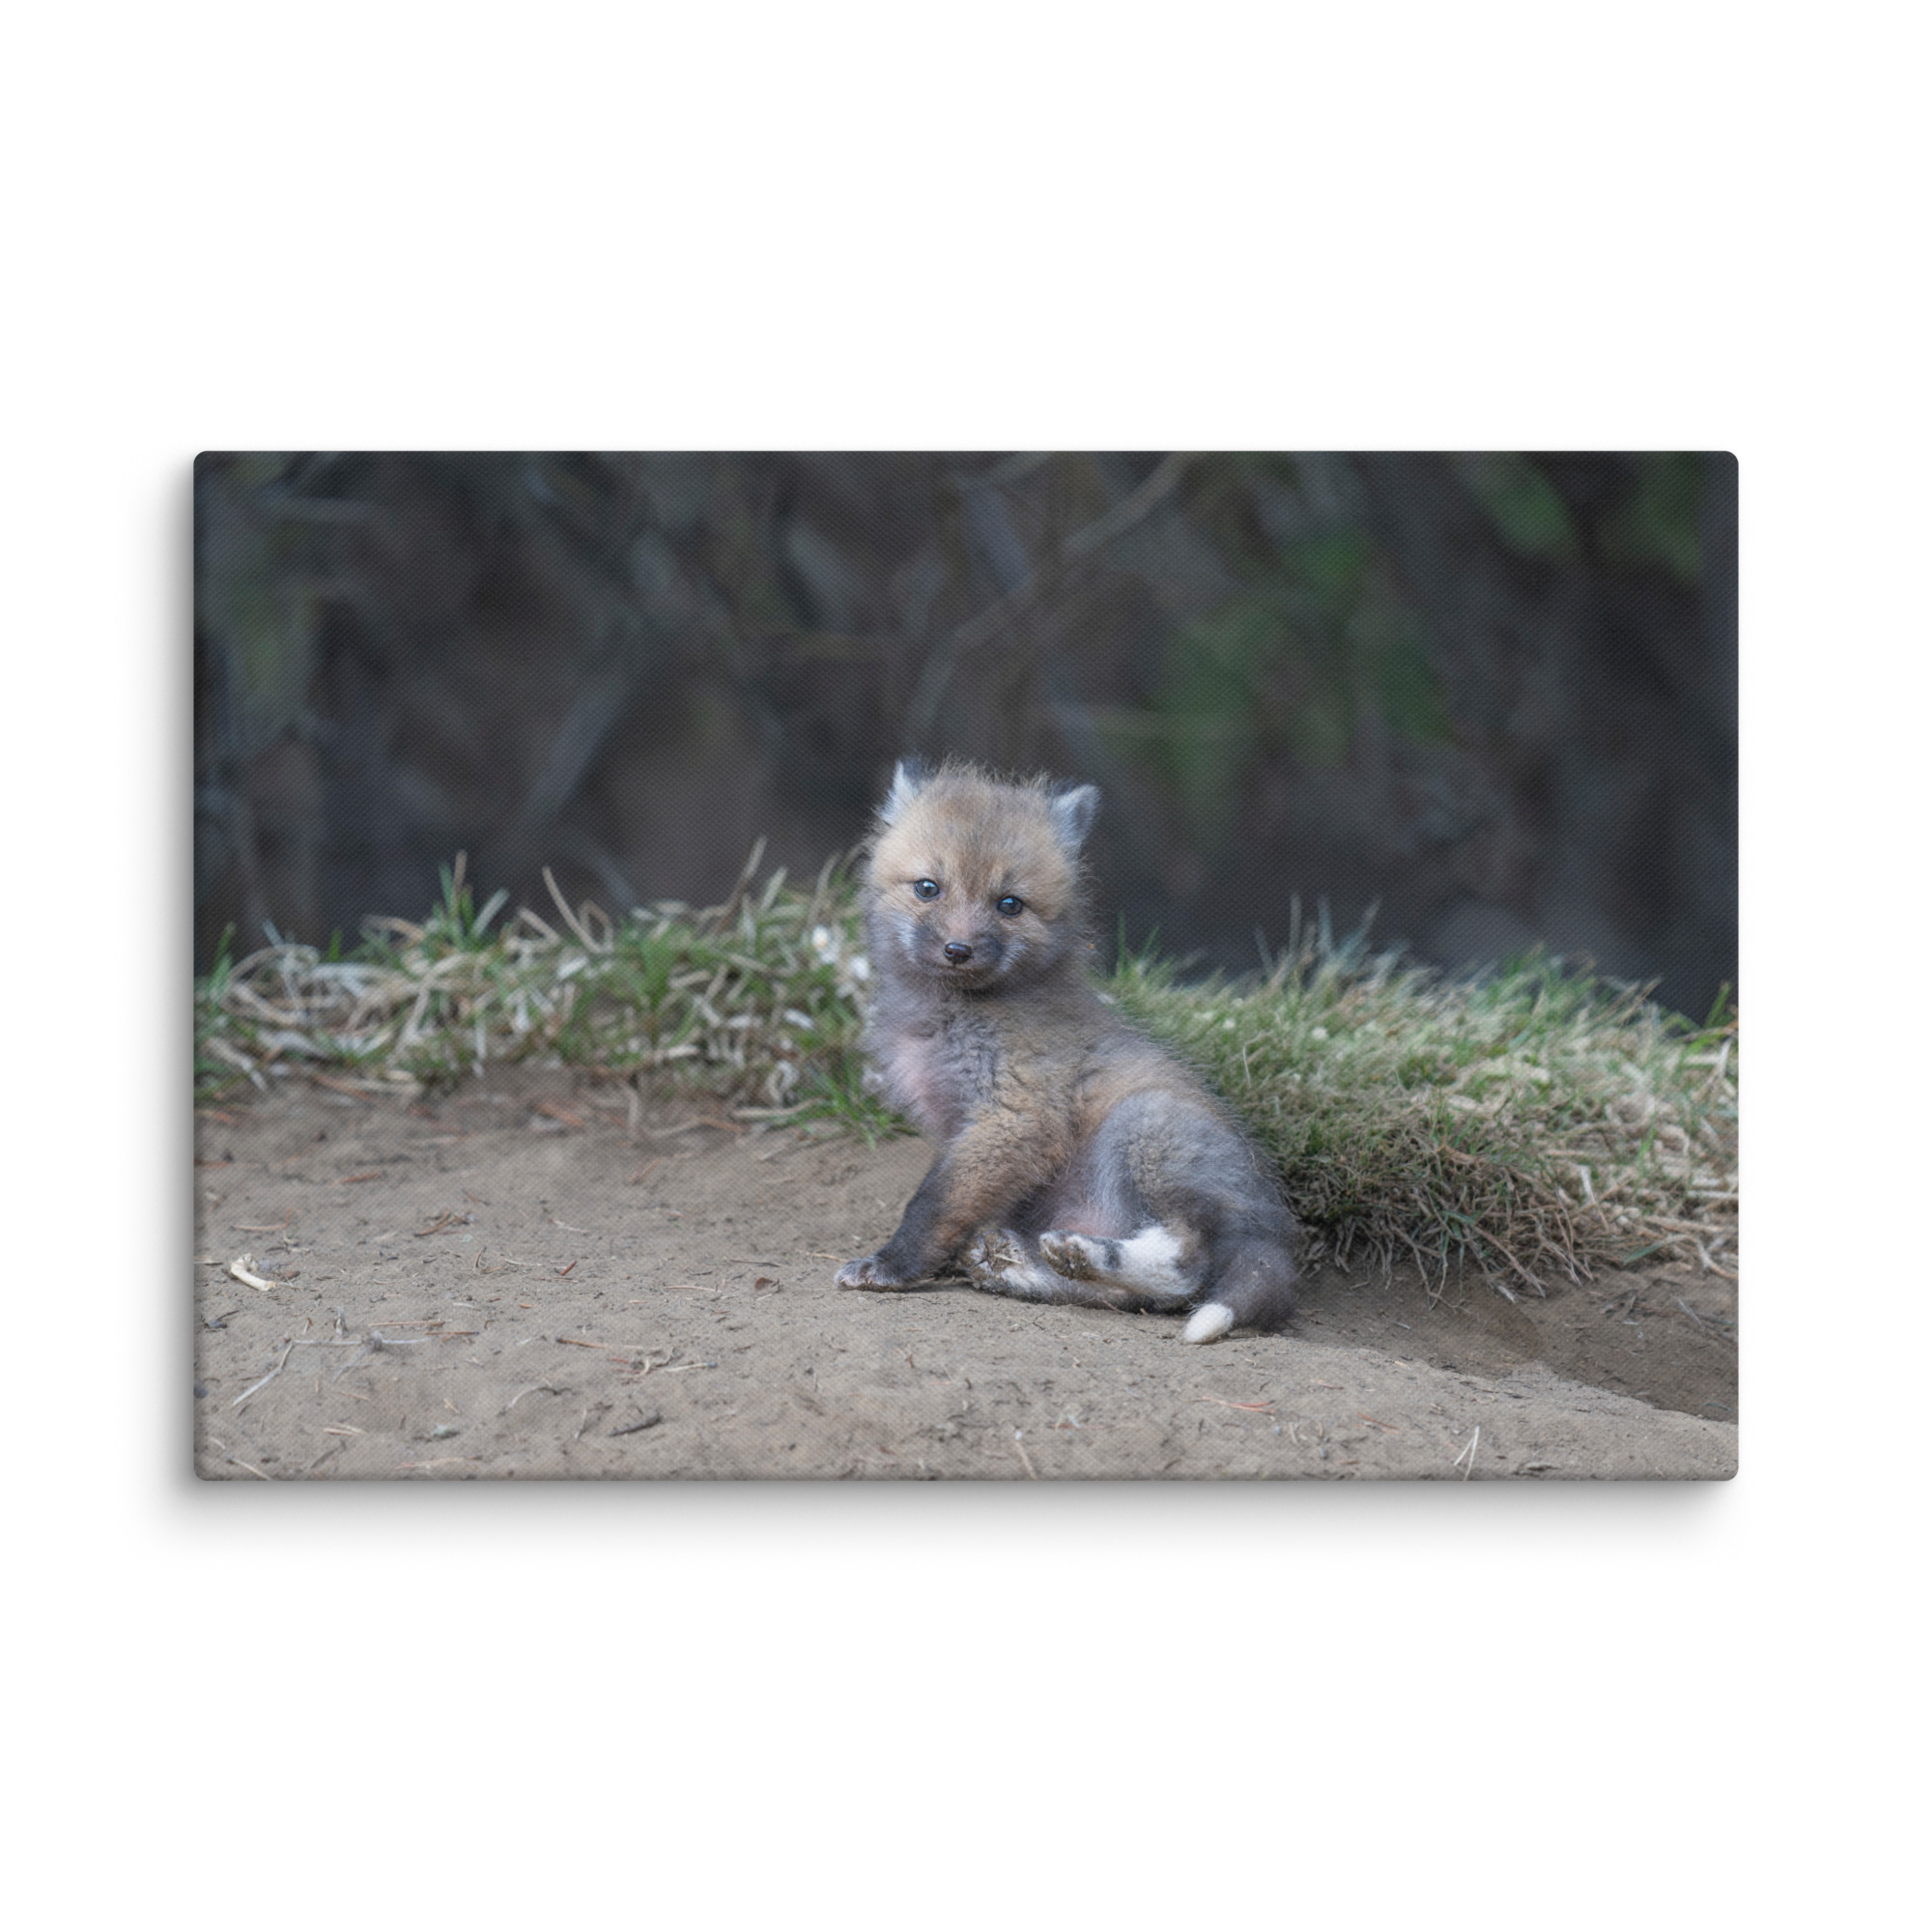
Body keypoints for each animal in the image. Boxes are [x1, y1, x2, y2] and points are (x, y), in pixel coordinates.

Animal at [834, 759, 1300, 1343]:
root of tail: (1274, 1230)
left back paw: (1083, 1254)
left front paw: (892, 1265)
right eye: (927, 888)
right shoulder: (963, 1128)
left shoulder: (1016, 1116)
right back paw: (1023, 1266)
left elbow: (933, 1204)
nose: (958, 950)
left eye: (1009, 904)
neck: (950, 1017)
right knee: (1133, 1299)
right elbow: (956, 1203)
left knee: (1185, 1267)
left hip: (1143, 1126)